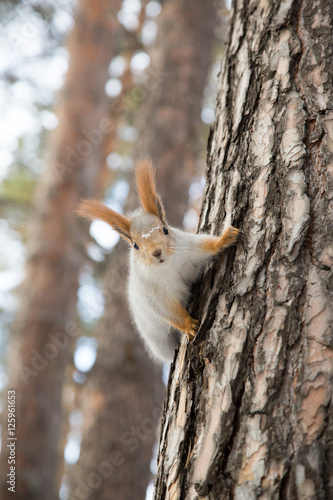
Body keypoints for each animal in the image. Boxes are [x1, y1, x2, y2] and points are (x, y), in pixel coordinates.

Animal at [77, 160, 239, 364]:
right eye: (135, 245)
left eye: (165, 230)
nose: (156, 252)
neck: (168, 266)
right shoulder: (153, 292)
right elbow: (168, 311)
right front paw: (189, 325)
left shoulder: (189, 246)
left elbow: (208, 245)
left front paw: (225, 238)